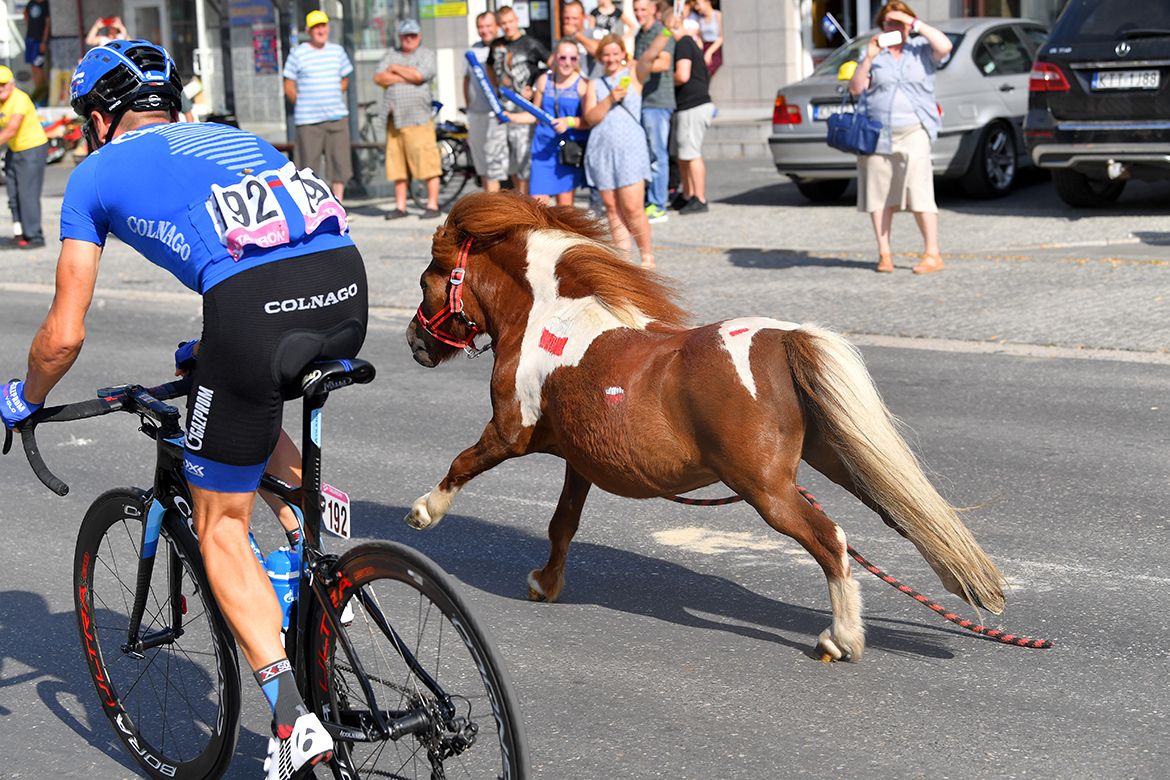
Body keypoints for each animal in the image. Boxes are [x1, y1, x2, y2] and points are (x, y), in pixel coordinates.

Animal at [404, 191, 1005, 662]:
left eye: (426, 278)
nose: (414, 342)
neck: (550, 321)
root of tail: (782, 340)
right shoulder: (580, 461)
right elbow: (562, 525)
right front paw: (545, 584)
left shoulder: (511, 432)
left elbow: (463, 462)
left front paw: (423, 512)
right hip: (837, 458)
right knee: (904, 510)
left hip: (766, 487)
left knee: (830, 539)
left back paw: (841, 639)